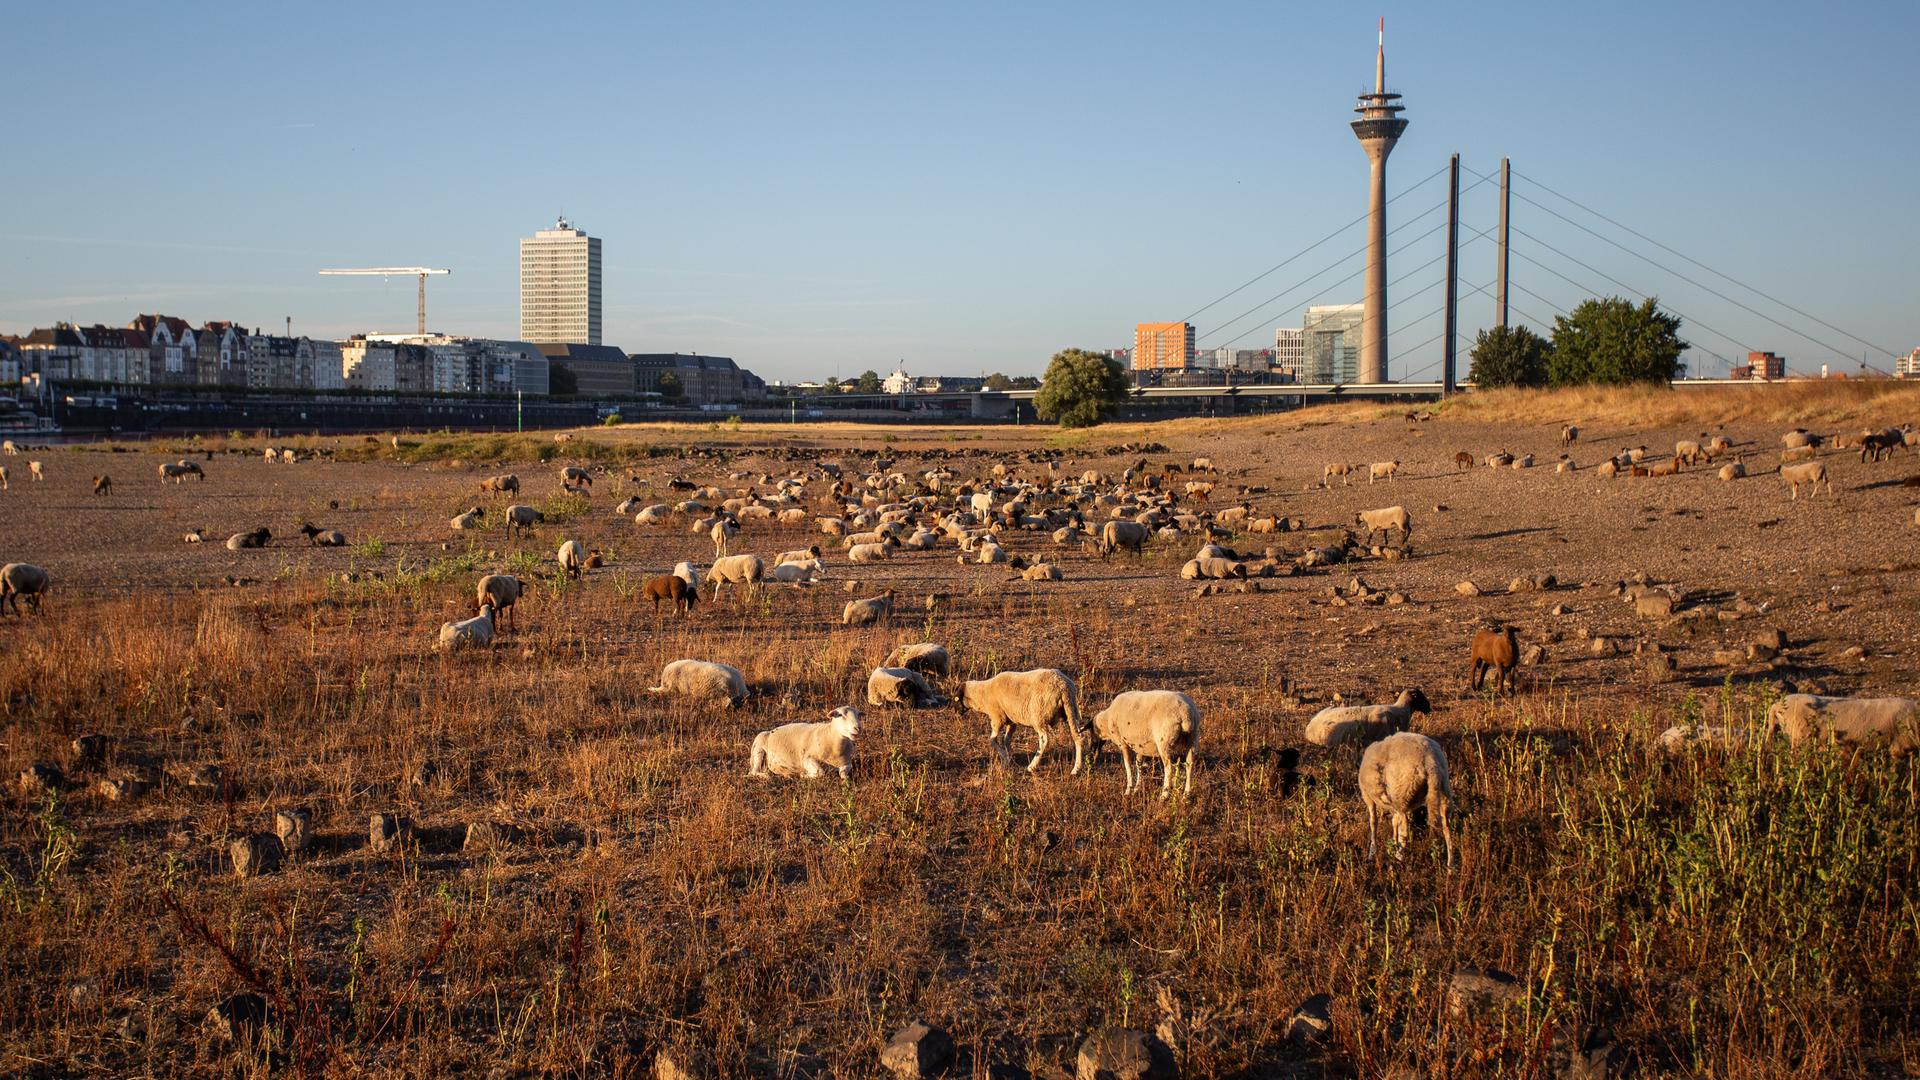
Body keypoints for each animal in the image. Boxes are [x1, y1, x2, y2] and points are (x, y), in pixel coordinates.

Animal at [1359, 732, 1454, 869]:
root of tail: (1430, 761)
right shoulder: (1391, 805)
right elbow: (1394, 822)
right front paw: (1393, 842)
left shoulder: (1367, 796)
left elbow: (1373, 822)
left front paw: (1372, 853)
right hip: (1443, 789)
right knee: (1446, 826)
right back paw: (1451, 865)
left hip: (1402, 793)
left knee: (1404, 827)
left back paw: (1398, 859)